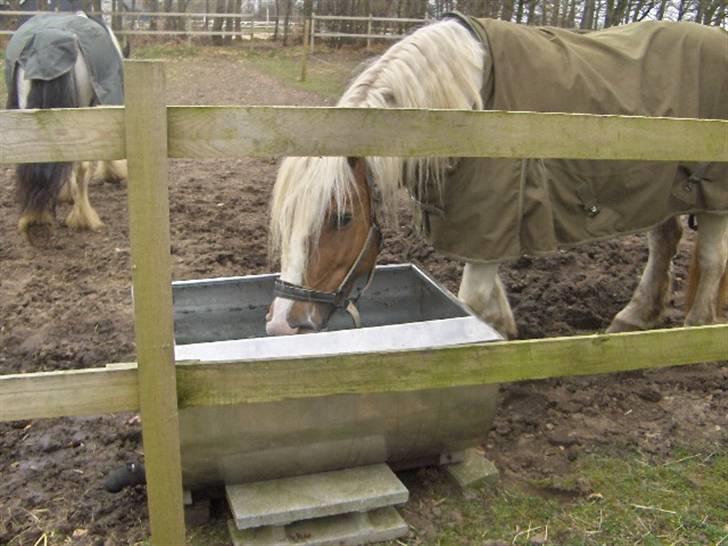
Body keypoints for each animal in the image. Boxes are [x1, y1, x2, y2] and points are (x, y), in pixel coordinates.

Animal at [268, 14, 728, 338]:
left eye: (342, 218)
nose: (283, 325)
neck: (468, 106)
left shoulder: (490, 220)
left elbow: (472, 301)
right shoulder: (485, 230)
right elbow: (489, 300)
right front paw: (506, 333)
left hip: (711, 195)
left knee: (711, 258)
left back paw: (697, 328)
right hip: (660, 189)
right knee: (665, 243)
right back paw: (635, 318)